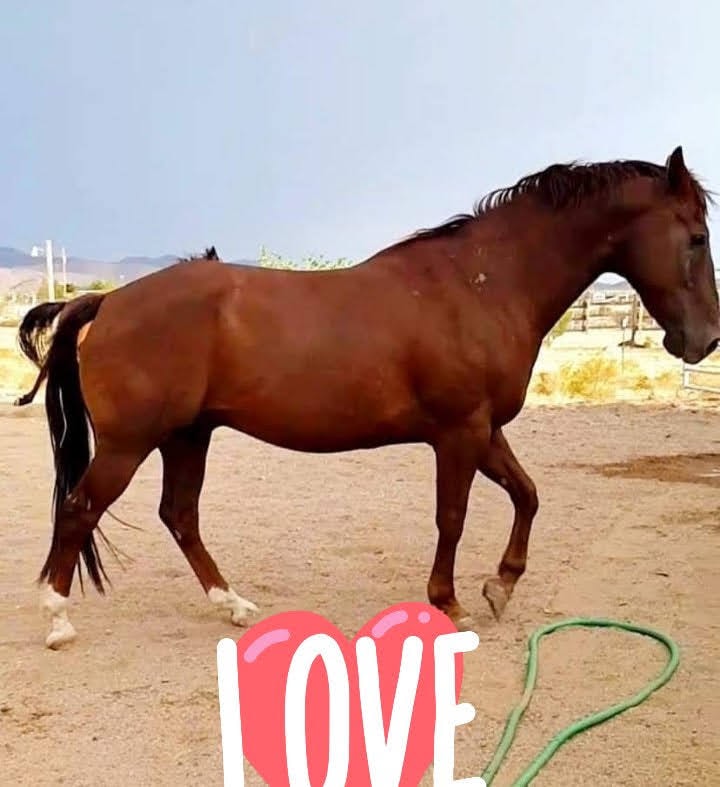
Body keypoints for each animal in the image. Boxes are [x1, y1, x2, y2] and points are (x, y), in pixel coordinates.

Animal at [18, 147, 720, 650]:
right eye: (695, 237)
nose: (705, 339)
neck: (482, 284)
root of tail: (108, 301)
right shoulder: (460, 433)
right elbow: (453, 516)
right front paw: (450, 603)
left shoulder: (485, 430)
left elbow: (527, 494)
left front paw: (500, 585)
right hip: (132, 443)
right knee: (80, 509)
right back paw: (57, 619)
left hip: (187, 436)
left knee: (179, 516)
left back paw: (233, 605)